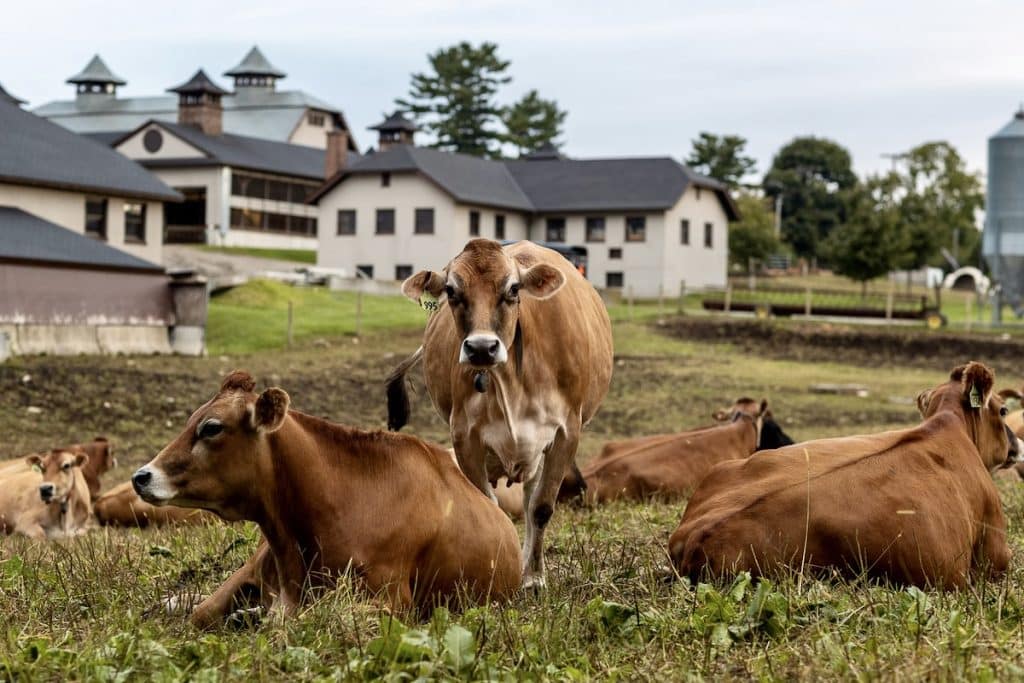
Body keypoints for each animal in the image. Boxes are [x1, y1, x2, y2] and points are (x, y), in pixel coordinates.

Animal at [387, 239, 610, 589]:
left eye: (513, 288)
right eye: (451, 290)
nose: (481, 348)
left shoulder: (566, 432)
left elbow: (541, 508)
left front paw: (533, 579)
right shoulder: (464, 437)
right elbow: (489, 510)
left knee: (531, 501)